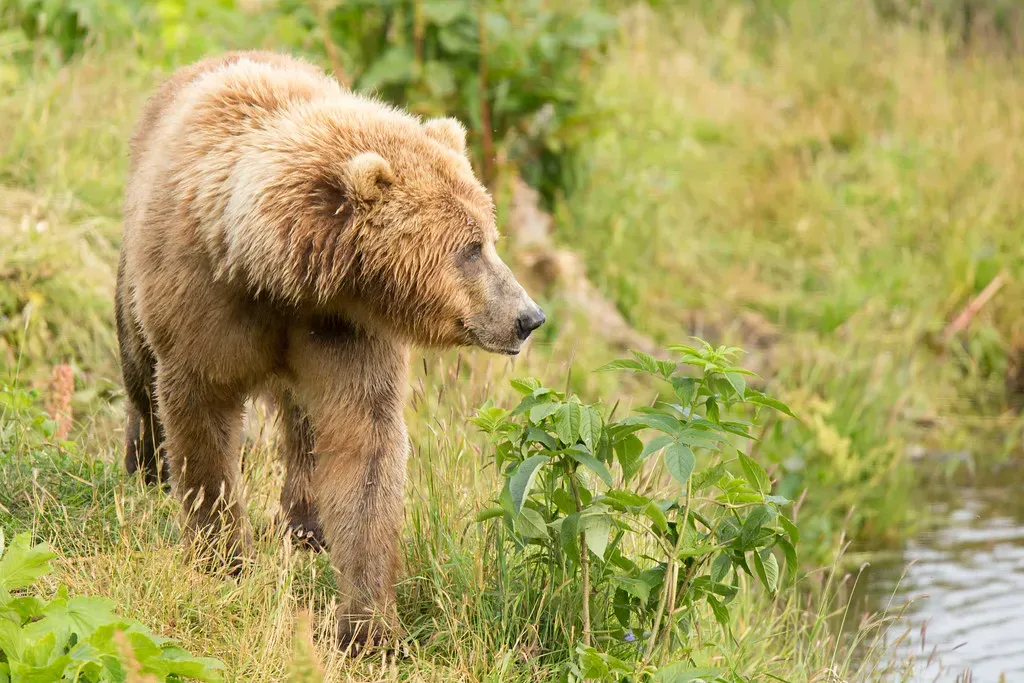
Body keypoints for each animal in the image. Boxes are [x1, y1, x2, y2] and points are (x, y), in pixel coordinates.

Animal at [114, 50, 545, 647]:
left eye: (489, 237)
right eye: (471, 248)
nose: (528, 317)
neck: (280, 276)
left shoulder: (344, 332)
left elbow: (364, 450)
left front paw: (367, 625)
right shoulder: (203, 303)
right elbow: (200, 417)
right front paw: (221, 557)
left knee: (305, 426)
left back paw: (307, 524)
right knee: (139, 367)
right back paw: (146, 466)